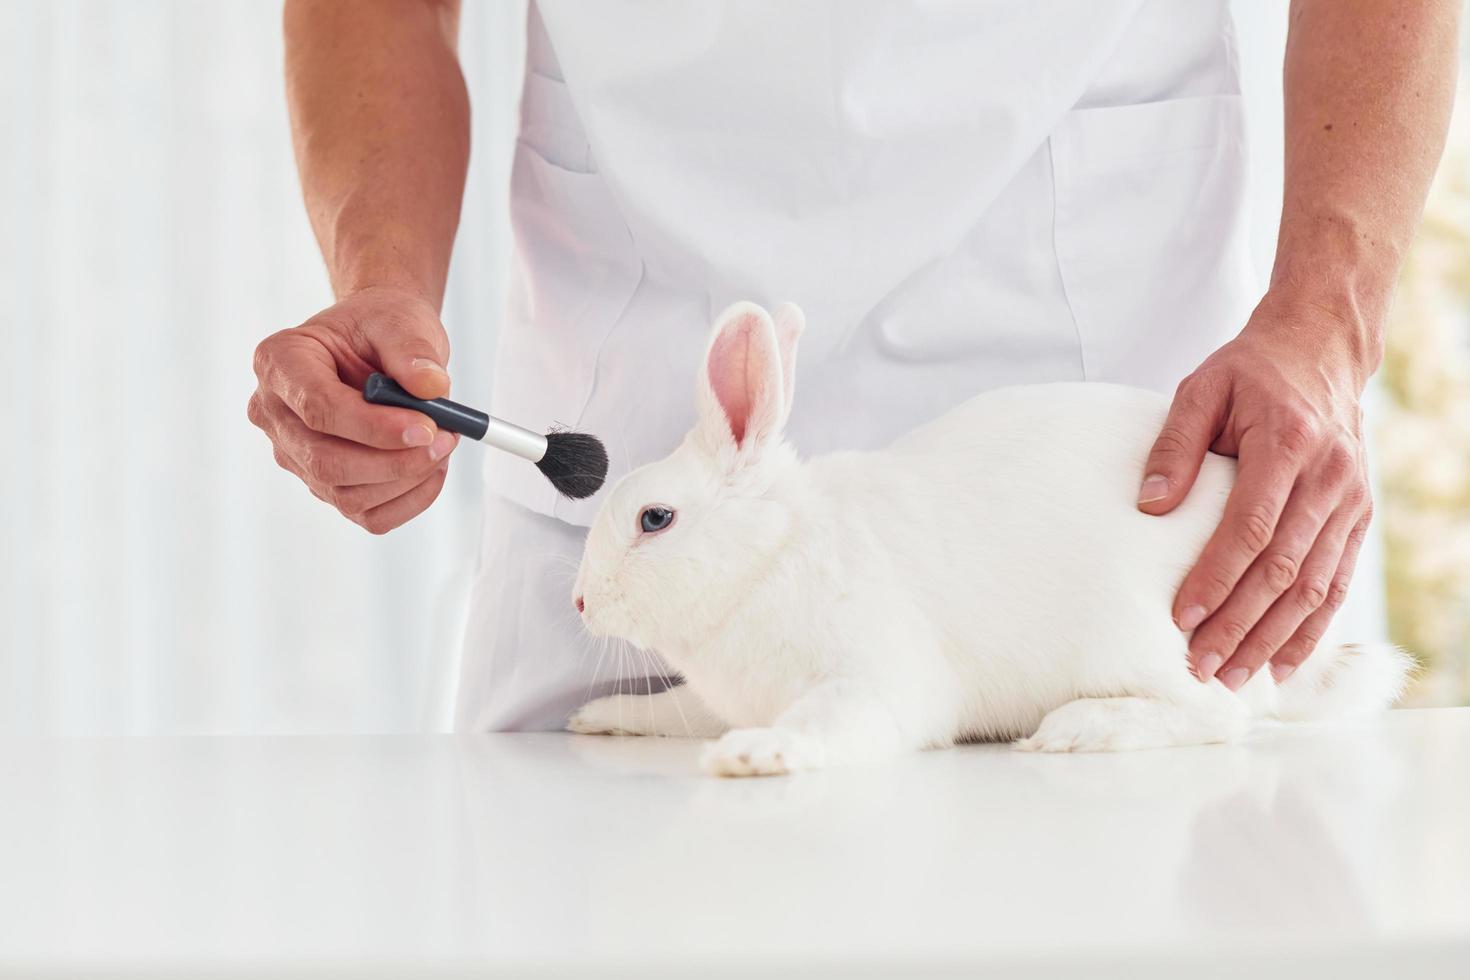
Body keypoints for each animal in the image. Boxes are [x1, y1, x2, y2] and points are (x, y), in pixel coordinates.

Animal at [564, 302, 1411, 775]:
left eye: (654, 519)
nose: (577, 603)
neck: (768, 557)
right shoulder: (719, 696)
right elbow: (671, 708)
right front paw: (597, 716)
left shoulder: (875, 675)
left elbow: (828, 722)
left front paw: (754, 757)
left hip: (1153, 640)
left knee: (1221, 717)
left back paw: (1075, 731)